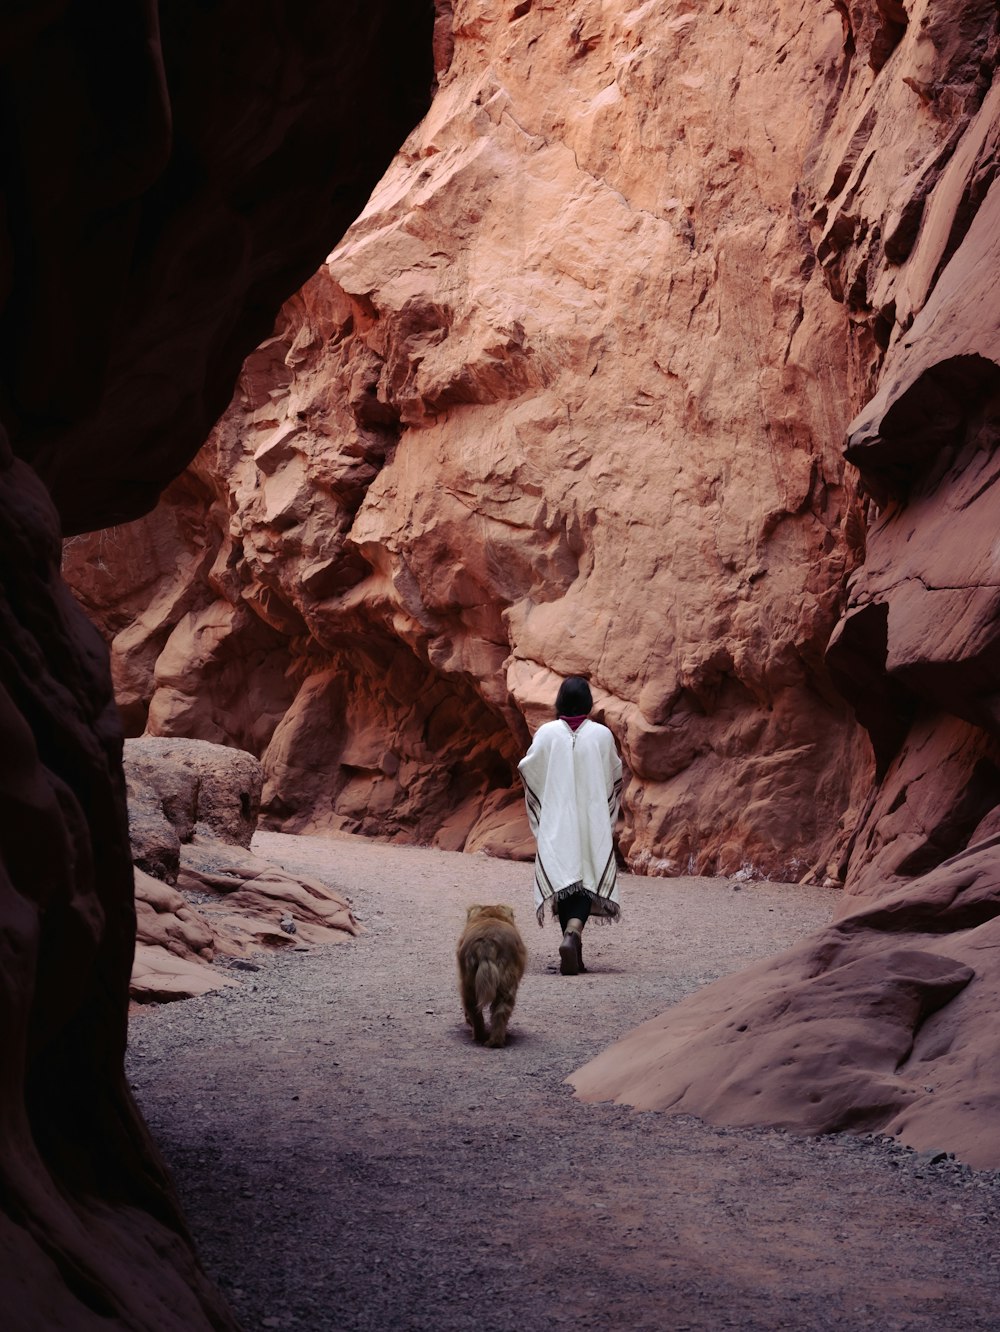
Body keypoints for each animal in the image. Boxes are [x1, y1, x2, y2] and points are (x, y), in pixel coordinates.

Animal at [458, 905, 527, 1049]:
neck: (491, 915)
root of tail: (487, 941)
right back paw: (491, 1039)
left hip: (469, 983)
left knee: (477, 1010)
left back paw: (486, 1038)